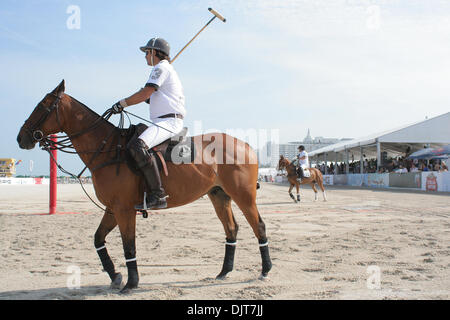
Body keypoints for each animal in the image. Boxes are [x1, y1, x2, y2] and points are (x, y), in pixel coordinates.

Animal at [16, 81, 270, 294]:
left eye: (42, 106)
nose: (21, 138)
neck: (106, 148)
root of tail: (247, 145)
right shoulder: (113, 208)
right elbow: (98, 239)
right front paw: (116, 276)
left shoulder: (124, 209)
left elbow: (129, 246)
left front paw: (131, 283)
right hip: (218, 195)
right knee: (231, 229)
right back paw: (224, 272)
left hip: (243, 195)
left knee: (258, 225)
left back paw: (265, 270)